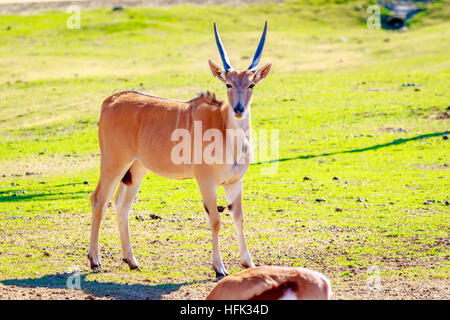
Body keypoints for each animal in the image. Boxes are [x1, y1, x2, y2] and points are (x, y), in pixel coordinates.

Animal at [87, 21, 270, 278]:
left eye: (251, 84)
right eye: (228, 84)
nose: (238, 109)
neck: (225, 130)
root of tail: (109, 101)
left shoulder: (235, 182)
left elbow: (239, 217)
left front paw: (248, 262)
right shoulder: (206, 182)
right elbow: (216, 220)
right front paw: (219, 268)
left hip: (136, 169)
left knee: (121, 205)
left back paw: (131, 260)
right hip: (114, 163)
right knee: (99, 200)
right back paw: (95, 261)